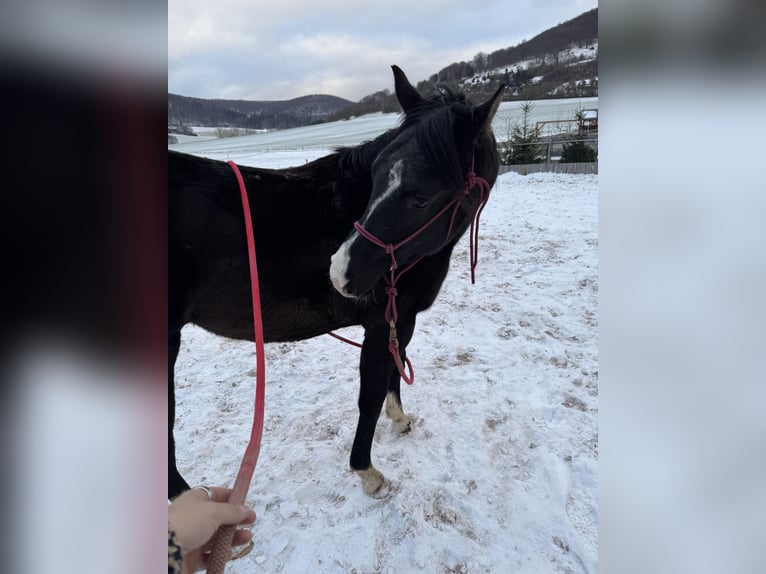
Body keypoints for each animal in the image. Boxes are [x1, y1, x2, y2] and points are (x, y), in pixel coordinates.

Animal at [169, 65, 505, 497]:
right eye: (376, 177)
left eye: (421, 199)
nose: (341, 271)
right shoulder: (382, 324)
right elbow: (371, 395)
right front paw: (367, 471)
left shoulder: (400, 320)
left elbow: (395, 370)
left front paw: (399, 418)